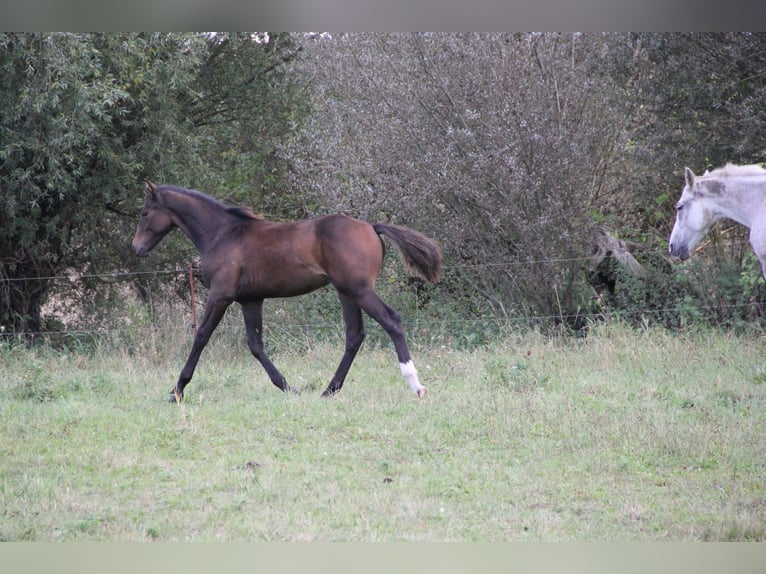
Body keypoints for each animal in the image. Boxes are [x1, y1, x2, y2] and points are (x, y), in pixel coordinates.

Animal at [133, 182, 444, 402]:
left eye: (145, 213)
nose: (136, 248)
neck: (223, 234)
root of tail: (372, 226)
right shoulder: (250, 300)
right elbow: (255, 345)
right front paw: (288, 387)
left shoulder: (220, 296)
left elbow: (201, 337)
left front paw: (177, 390)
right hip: (347, 292)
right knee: (354, 336)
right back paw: (329, 390)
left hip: (360, 290)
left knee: (392, 321)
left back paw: (415, 384)